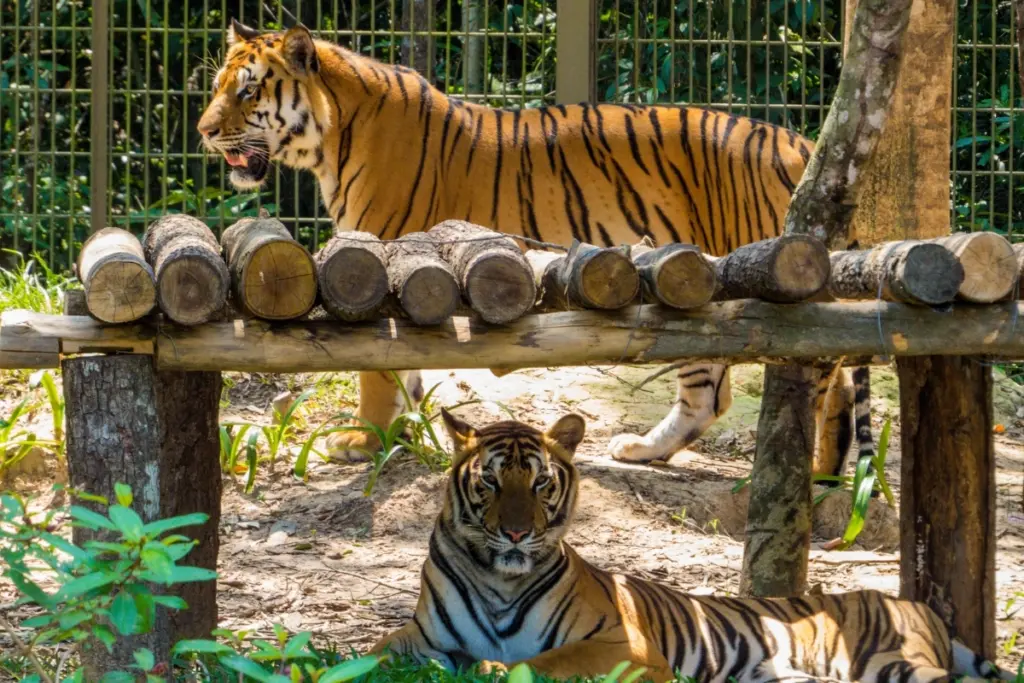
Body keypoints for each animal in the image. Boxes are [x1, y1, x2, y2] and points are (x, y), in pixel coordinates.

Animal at [196, 20, 875, 484]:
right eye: (218, 87)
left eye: (248, 93)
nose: (202, 131)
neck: (332, 136)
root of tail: (798, 141)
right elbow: (408, 369)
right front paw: (409, 437)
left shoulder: (380, 258)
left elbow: (376, 369)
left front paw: (365, 441)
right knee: (721, 391)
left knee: (818, 374)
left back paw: (806, 474)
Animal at [368, 410, 1013, 683]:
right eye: (490, 482)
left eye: (541, 484)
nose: (517, 533)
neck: (500, 578)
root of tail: (915, 604)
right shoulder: (416, 637)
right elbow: (375, 653)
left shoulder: (623, 644)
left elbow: (543, 660)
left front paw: (494, 667)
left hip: (889, 662)